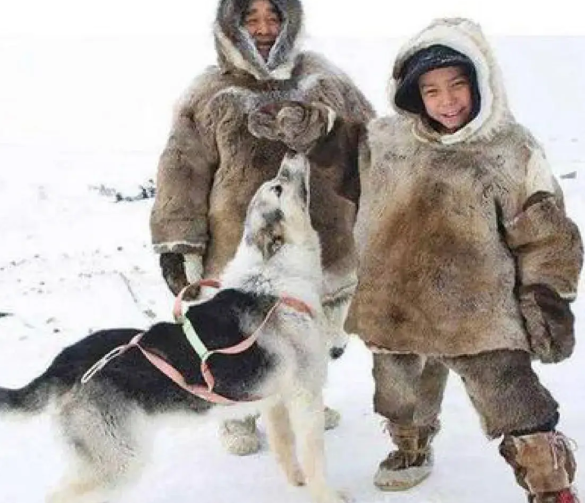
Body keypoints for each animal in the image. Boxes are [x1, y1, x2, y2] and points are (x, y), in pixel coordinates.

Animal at [0, 155, 346, 503]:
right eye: (277, 187)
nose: (292, 155)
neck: (270, 280)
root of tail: (62, 365)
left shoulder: (275, 402)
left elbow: (287, 451)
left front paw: (297, 483)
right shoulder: (305, 399)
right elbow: (315, 460)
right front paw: (329, 496)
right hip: (119, 461)